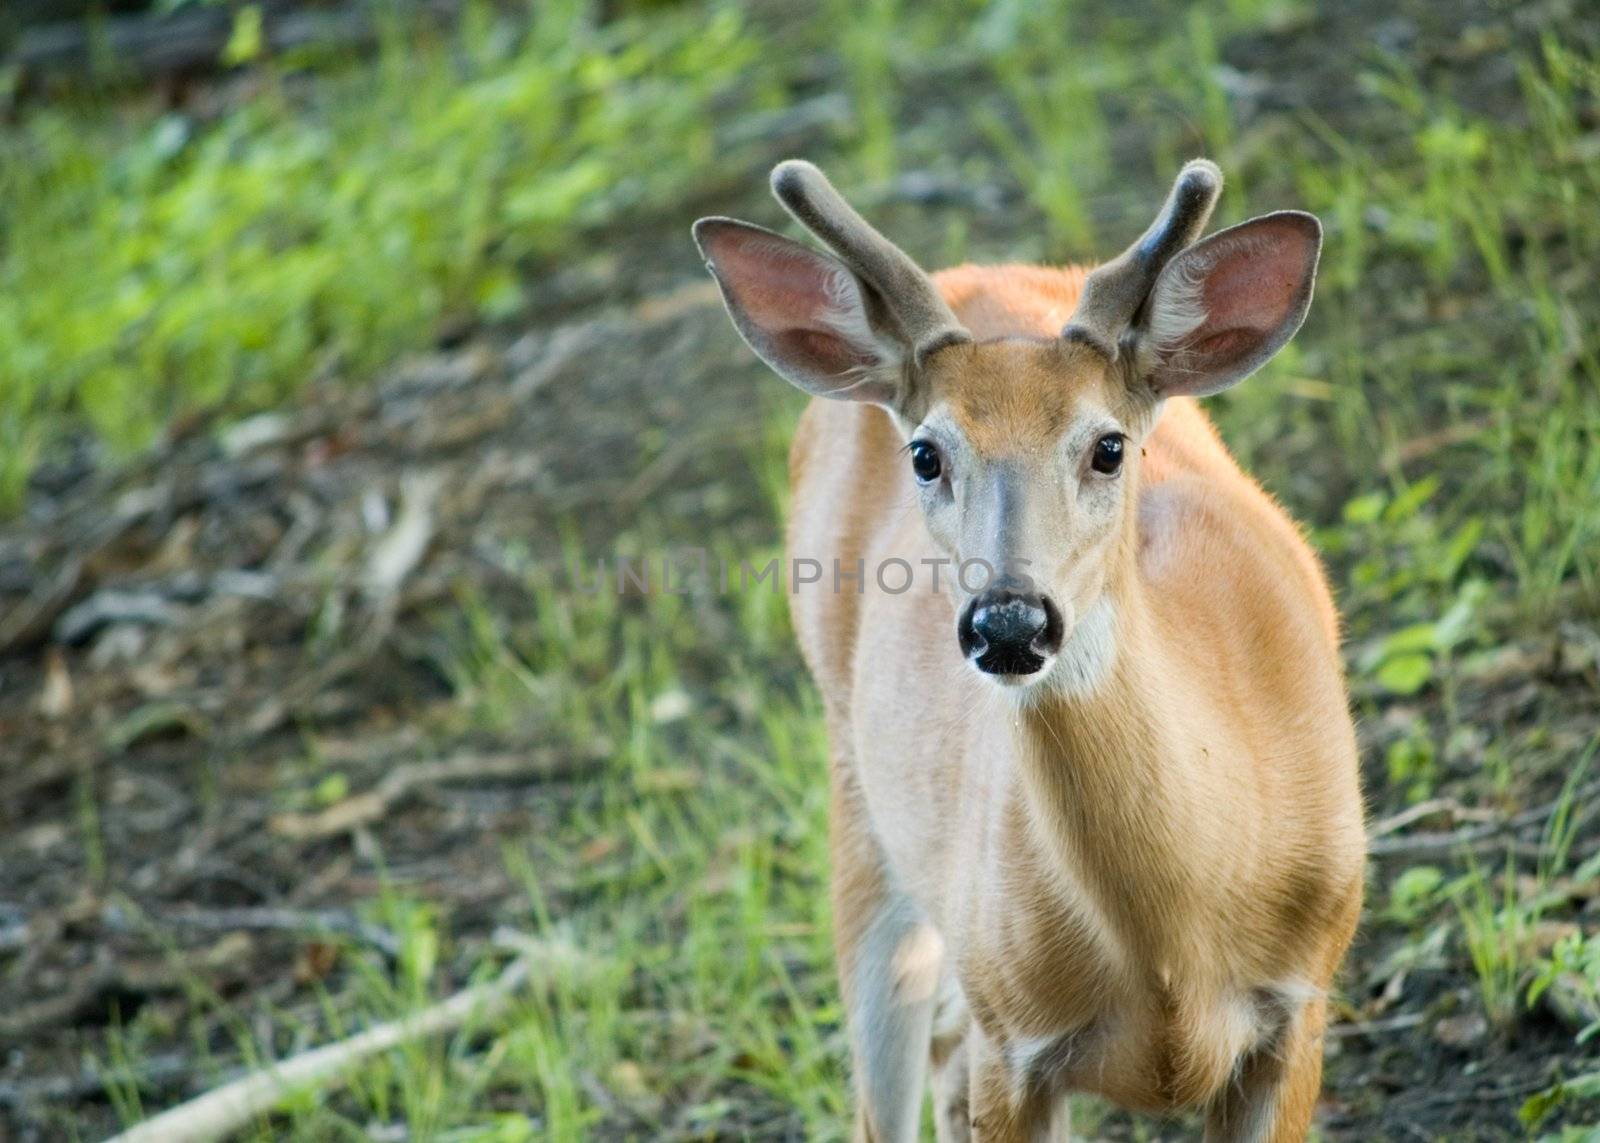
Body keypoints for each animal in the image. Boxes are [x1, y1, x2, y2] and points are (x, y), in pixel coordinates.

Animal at [688, 162, 1363, 1139]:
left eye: (1109, 446)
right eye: (926, 454)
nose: (1008, 622)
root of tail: (974, 266)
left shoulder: (1300, 1005)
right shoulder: (1013, 1039)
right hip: (864, 816)